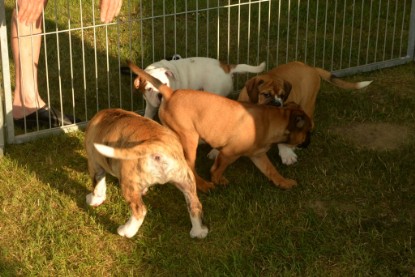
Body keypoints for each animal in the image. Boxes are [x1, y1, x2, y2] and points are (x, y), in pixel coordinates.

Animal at [84, 109, 208, 238]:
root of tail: (157, 144)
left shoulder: (94, 164)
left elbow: (98, 185)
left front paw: (93, 200)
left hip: (128, 183)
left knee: (139, 211)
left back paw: (126, 231)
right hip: (186, 180)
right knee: (195, 205)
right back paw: (199, 232)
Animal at [237, 61, 374, 165]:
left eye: (283, 96)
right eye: (266, 94)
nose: (278, 104)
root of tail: (310, 67)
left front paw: (287, 154)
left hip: (307, 102)